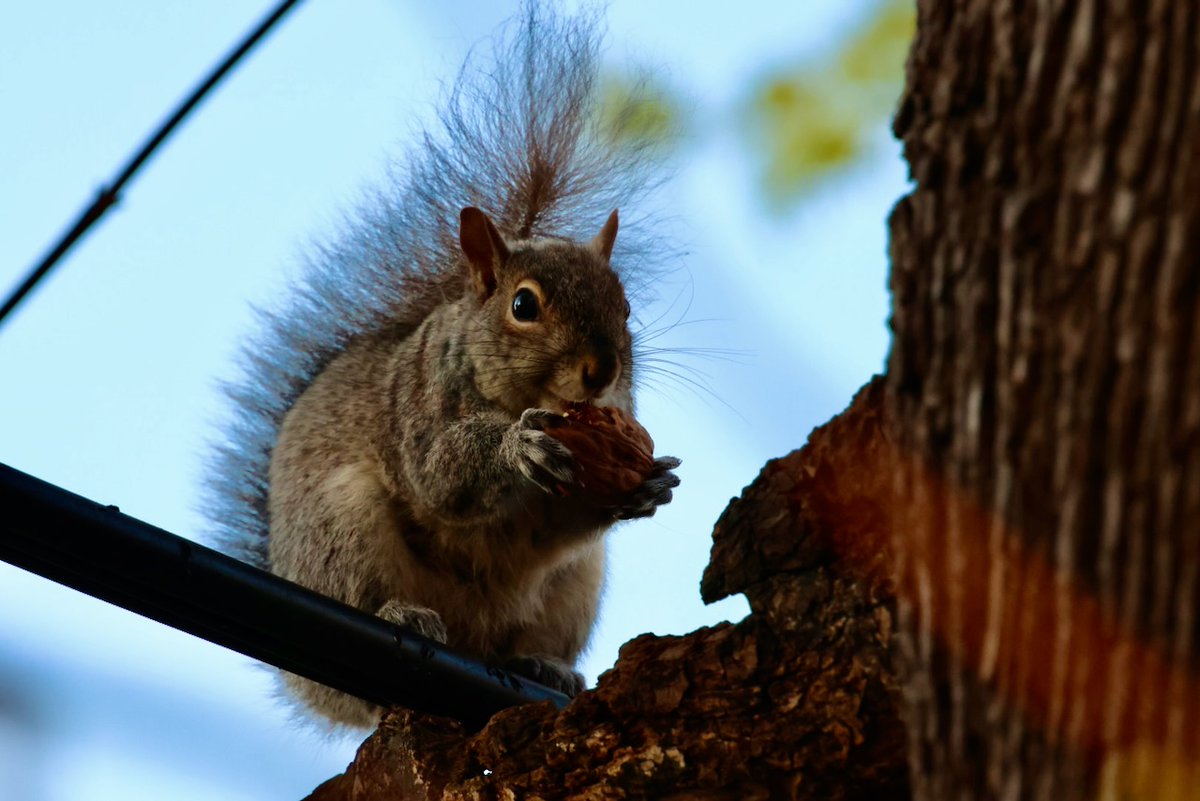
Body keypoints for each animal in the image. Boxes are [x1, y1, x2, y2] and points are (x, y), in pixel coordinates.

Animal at [201, 0, 681, 729]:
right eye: (523, 305)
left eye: (626, 307)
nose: (601, 372)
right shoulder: (418, 409)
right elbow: (440, 476)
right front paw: (517, 447)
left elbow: (557, 524)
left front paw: (648, 485)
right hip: (341, 527)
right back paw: (403, 614)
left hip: (577, 584)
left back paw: (540, 665)